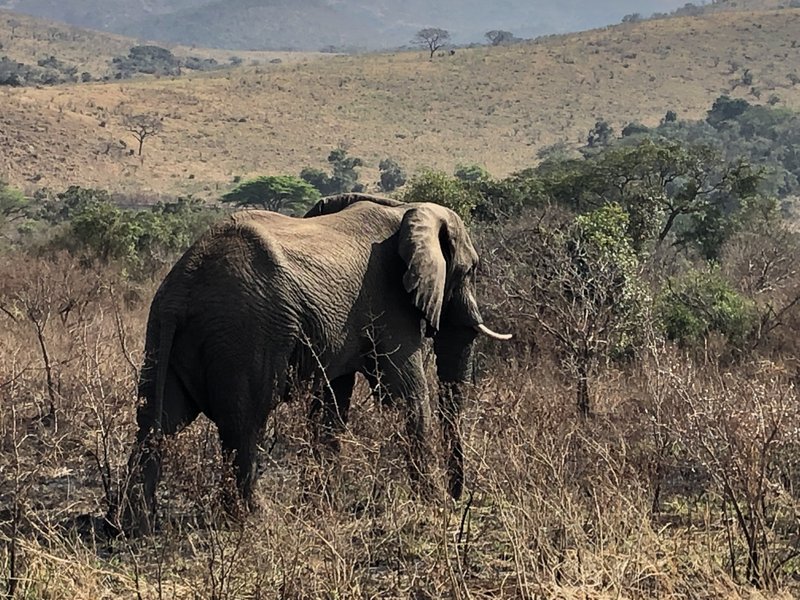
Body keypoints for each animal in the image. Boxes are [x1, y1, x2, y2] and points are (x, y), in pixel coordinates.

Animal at [117, 193, 512, 536]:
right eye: (470, 270)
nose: (458, 496)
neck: (406, 209)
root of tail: (185, 283)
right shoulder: (390, 303)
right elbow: (405, 394)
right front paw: (433, 503)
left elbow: (331, 404)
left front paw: (321, 505)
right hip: (245, 333)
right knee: (243, 424)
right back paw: (257, 519)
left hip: (165, 334)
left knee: (156, 423)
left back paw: (133, 526)